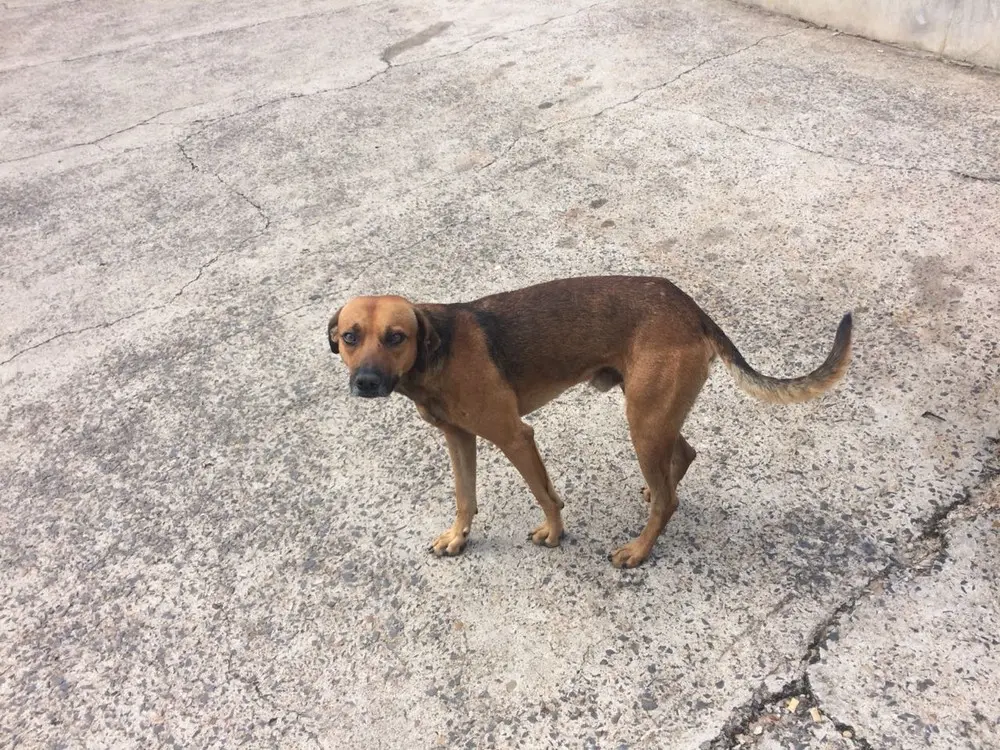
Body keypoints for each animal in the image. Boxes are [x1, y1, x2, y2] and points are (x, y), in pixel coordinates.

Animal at [328, 276, 852, 568]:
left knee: (669, 498)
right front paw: (458, 537)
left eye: (396, 337)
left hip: (642, 421)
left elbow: (545, 494)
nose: (366, 382)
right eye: (350, 337)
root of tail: (689, 306)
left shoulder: (515, 436)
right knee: (681, 458)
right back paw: (656, 493)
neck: (436, 352)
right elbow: (464, 496)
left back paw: (639, 549)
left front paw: (554, 534)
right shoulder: (458, 438)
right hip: (651, 413)